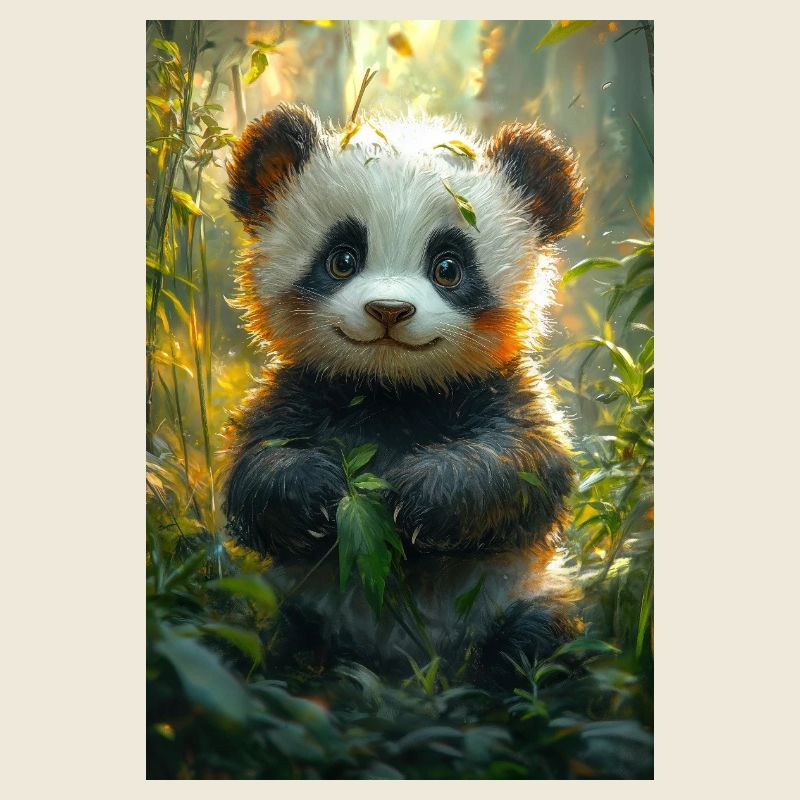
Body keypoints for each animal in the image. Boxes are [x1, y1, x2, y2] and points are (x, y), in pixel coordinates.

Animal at [223, 103, 586, 686]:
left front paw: (419, 494)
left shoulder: (499, 387)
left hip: (518, 594)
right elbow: (252, 469)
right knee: (271, 640)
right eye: (342, 259)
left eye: (448, 267)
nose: (389, 310)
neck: (392, 388)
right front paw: (318, 489)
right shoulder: (301, 387)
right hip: (294, 603)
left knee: (537, 645)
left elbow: (528, 462)